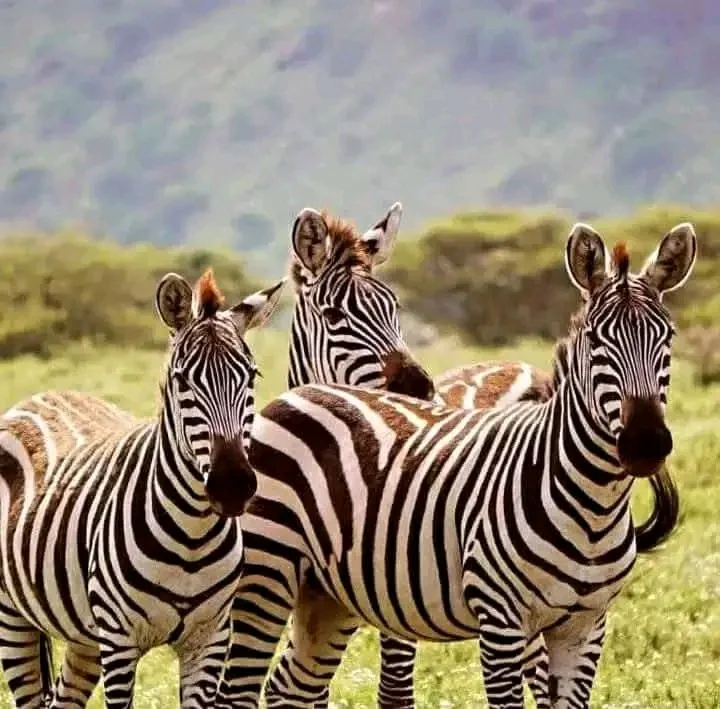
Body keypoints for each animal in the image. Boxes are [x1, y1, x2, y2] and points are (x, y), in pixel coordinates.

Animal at [0, 268, 284, 708]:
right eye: (182, 381)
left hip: (84, 636)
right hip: (11, 616)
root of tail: (39, 396)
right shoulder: (119, 641)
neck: (193, 538)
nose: (233, 485)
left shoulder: (211, 640)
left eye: (252, 376)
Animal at [216, 221, 696, 708]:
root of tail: (302, 394)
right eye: (597, 341)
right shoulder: (495, 619)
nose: (645, 443)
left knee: (290, 684)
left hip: (325, 594)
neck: (592, 506)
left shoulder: (585, 627)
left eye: (669, 338)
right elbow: (401, 690)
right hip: (268, 575)